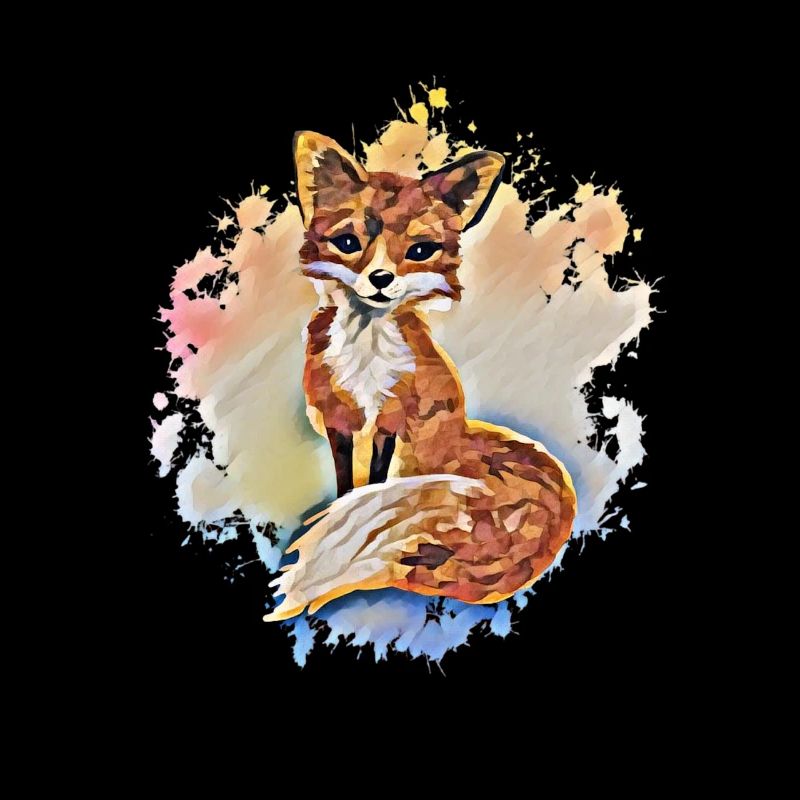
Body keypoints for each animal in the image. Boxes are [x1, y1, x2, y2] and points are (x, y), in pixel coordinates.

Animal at [264, 132, 577, 622]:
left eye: (419, 251)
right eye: (348, 241)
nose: (379, 278)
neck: (366, 350)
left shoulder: (391, 417)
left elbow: (372, 482)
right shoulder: (339, 418)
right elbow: (346, 483)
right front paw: (339, 505)